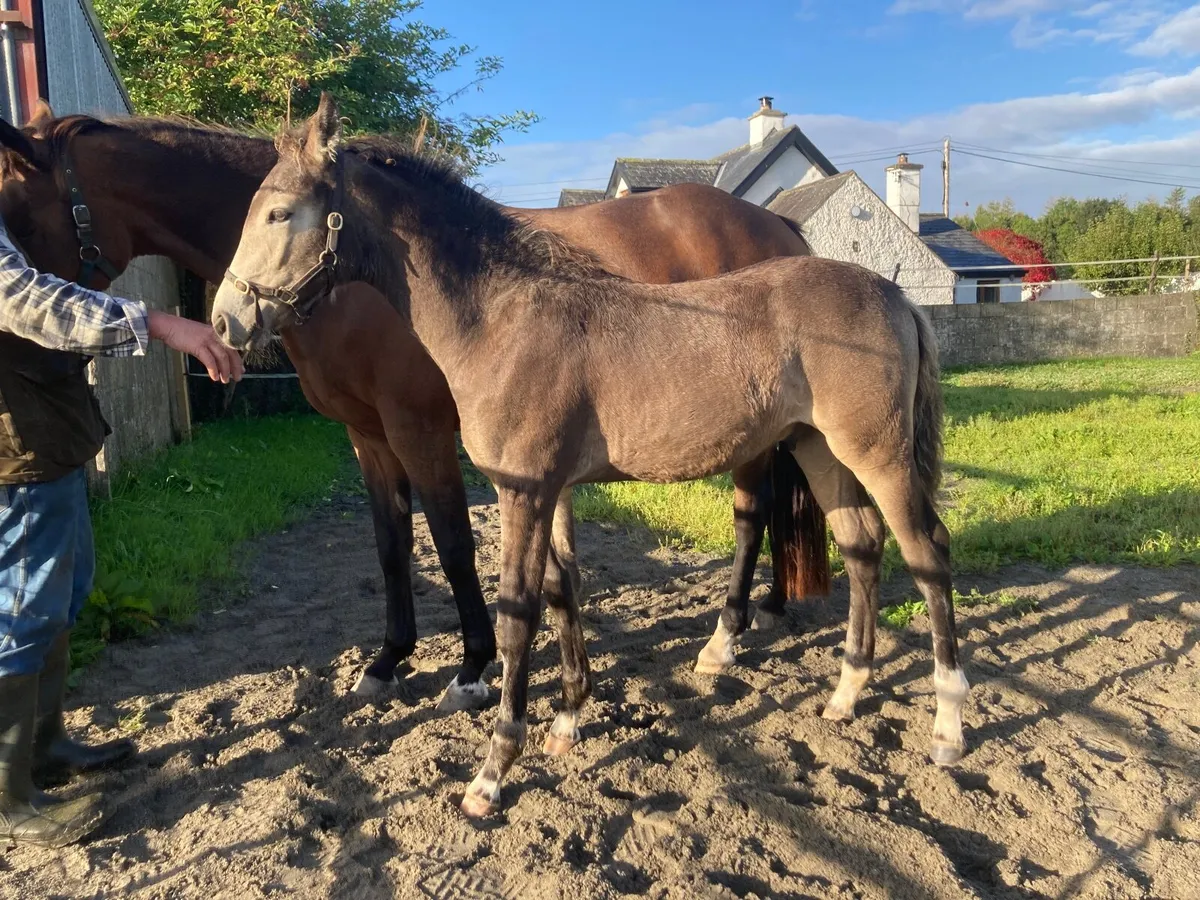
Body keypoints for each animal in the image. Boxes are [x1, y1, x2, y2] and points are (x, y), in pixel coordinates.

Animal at [0, 103, 830, 709]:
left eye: (15, 211)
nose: (230, 321)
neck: (366, 284)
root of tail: (778, 225)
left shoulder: (420, 429)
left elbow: (454, 543)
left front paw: (471, 666)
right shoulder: (367, 435)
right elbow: (392, 544)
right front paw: (387, 659)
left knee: (751, 512)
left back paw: (724, 638)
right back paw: (763, 613)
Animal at [211, 94, 969, 818]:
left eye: (280, 212)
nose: (226, 320)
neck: (501, 318)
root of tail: (895, 293)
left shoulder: (521, 488)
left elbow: (517, 612)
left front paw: (492, 772)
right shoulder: (548, 488)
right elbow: (560, 588)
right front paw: (568, 719)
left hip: (878, 455)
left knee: (928, 552)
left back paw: (947, 726)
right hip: (821, 450)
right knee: (862, 545)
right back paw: (844, 695)